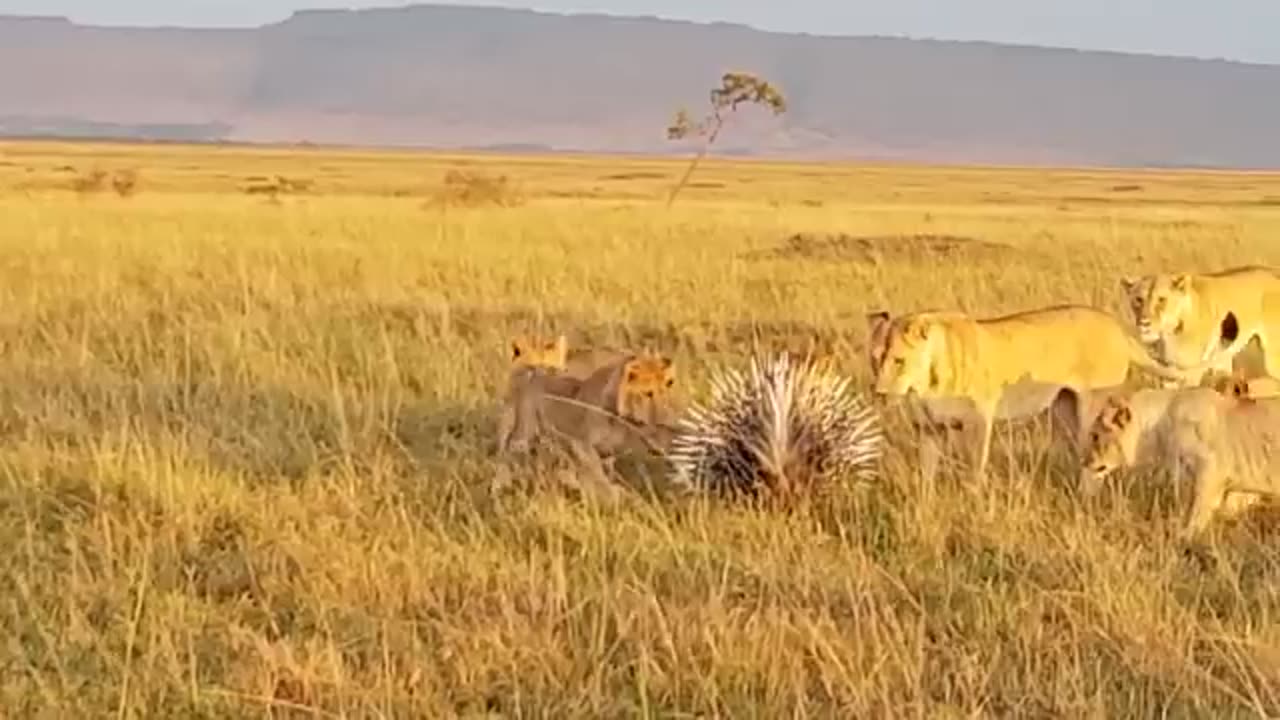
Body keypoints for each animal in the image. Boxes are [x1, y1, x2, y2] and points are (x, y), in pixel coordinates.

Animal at [870, 303, 1218, 481]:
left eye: (899, 360)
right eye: (875, 359)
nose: (879, 394)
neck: (923, 384)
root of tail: (1115, 325)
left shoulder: (978, 423)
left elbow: (974, 469)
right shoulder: (927, 428)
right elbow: (926, 472)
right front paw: (925, 505)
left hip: (1092, 408)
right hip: (1064, 408)